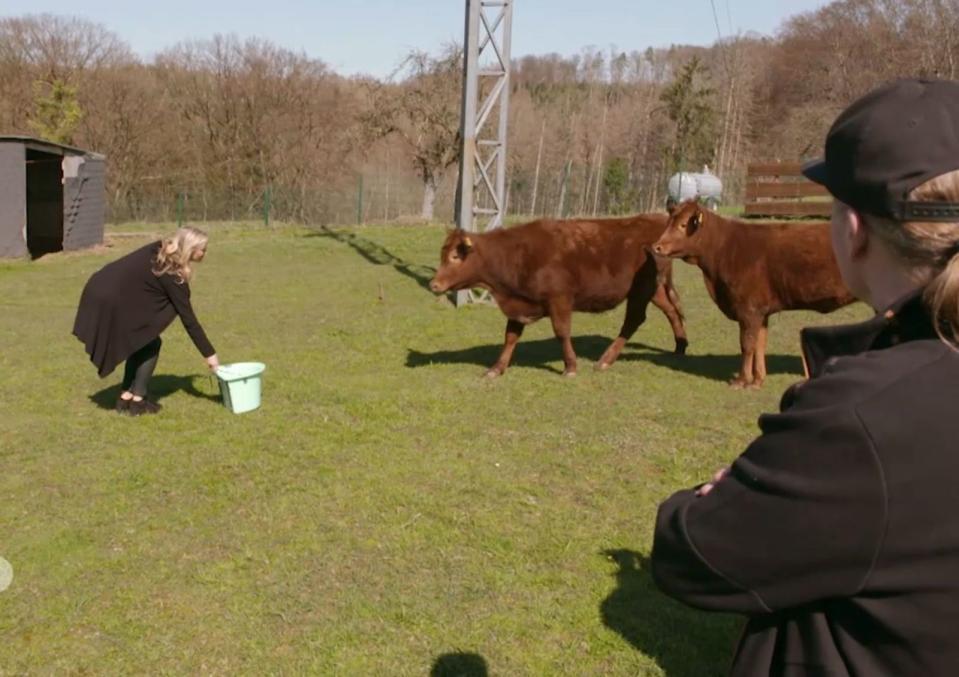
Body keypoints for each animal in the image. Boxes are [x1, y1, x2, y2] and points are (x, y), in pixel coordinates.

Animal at [430, 214, 688, 378]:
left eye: (455, 256)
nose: (433, 284)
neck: (515, 255)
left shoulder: (560, 300)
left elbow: (561, 332)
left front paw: (570, 366)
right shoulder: (519, 304)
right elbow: (510, 337)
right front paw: (496, 368)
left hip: (641, 290)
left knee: (634, 320)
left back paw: (605, 360)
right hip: (654, 289)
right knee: (671, 310)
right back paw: (680, 346)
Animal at [652, 201, 856, 388]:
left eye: (683, 224)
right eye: (669, 221)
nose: (657, 247)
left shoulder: (749, 309)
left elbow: (747, 344)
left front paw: (742, 380)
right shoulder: (762, 312)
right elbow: (760, 344)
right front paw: (757, 380)